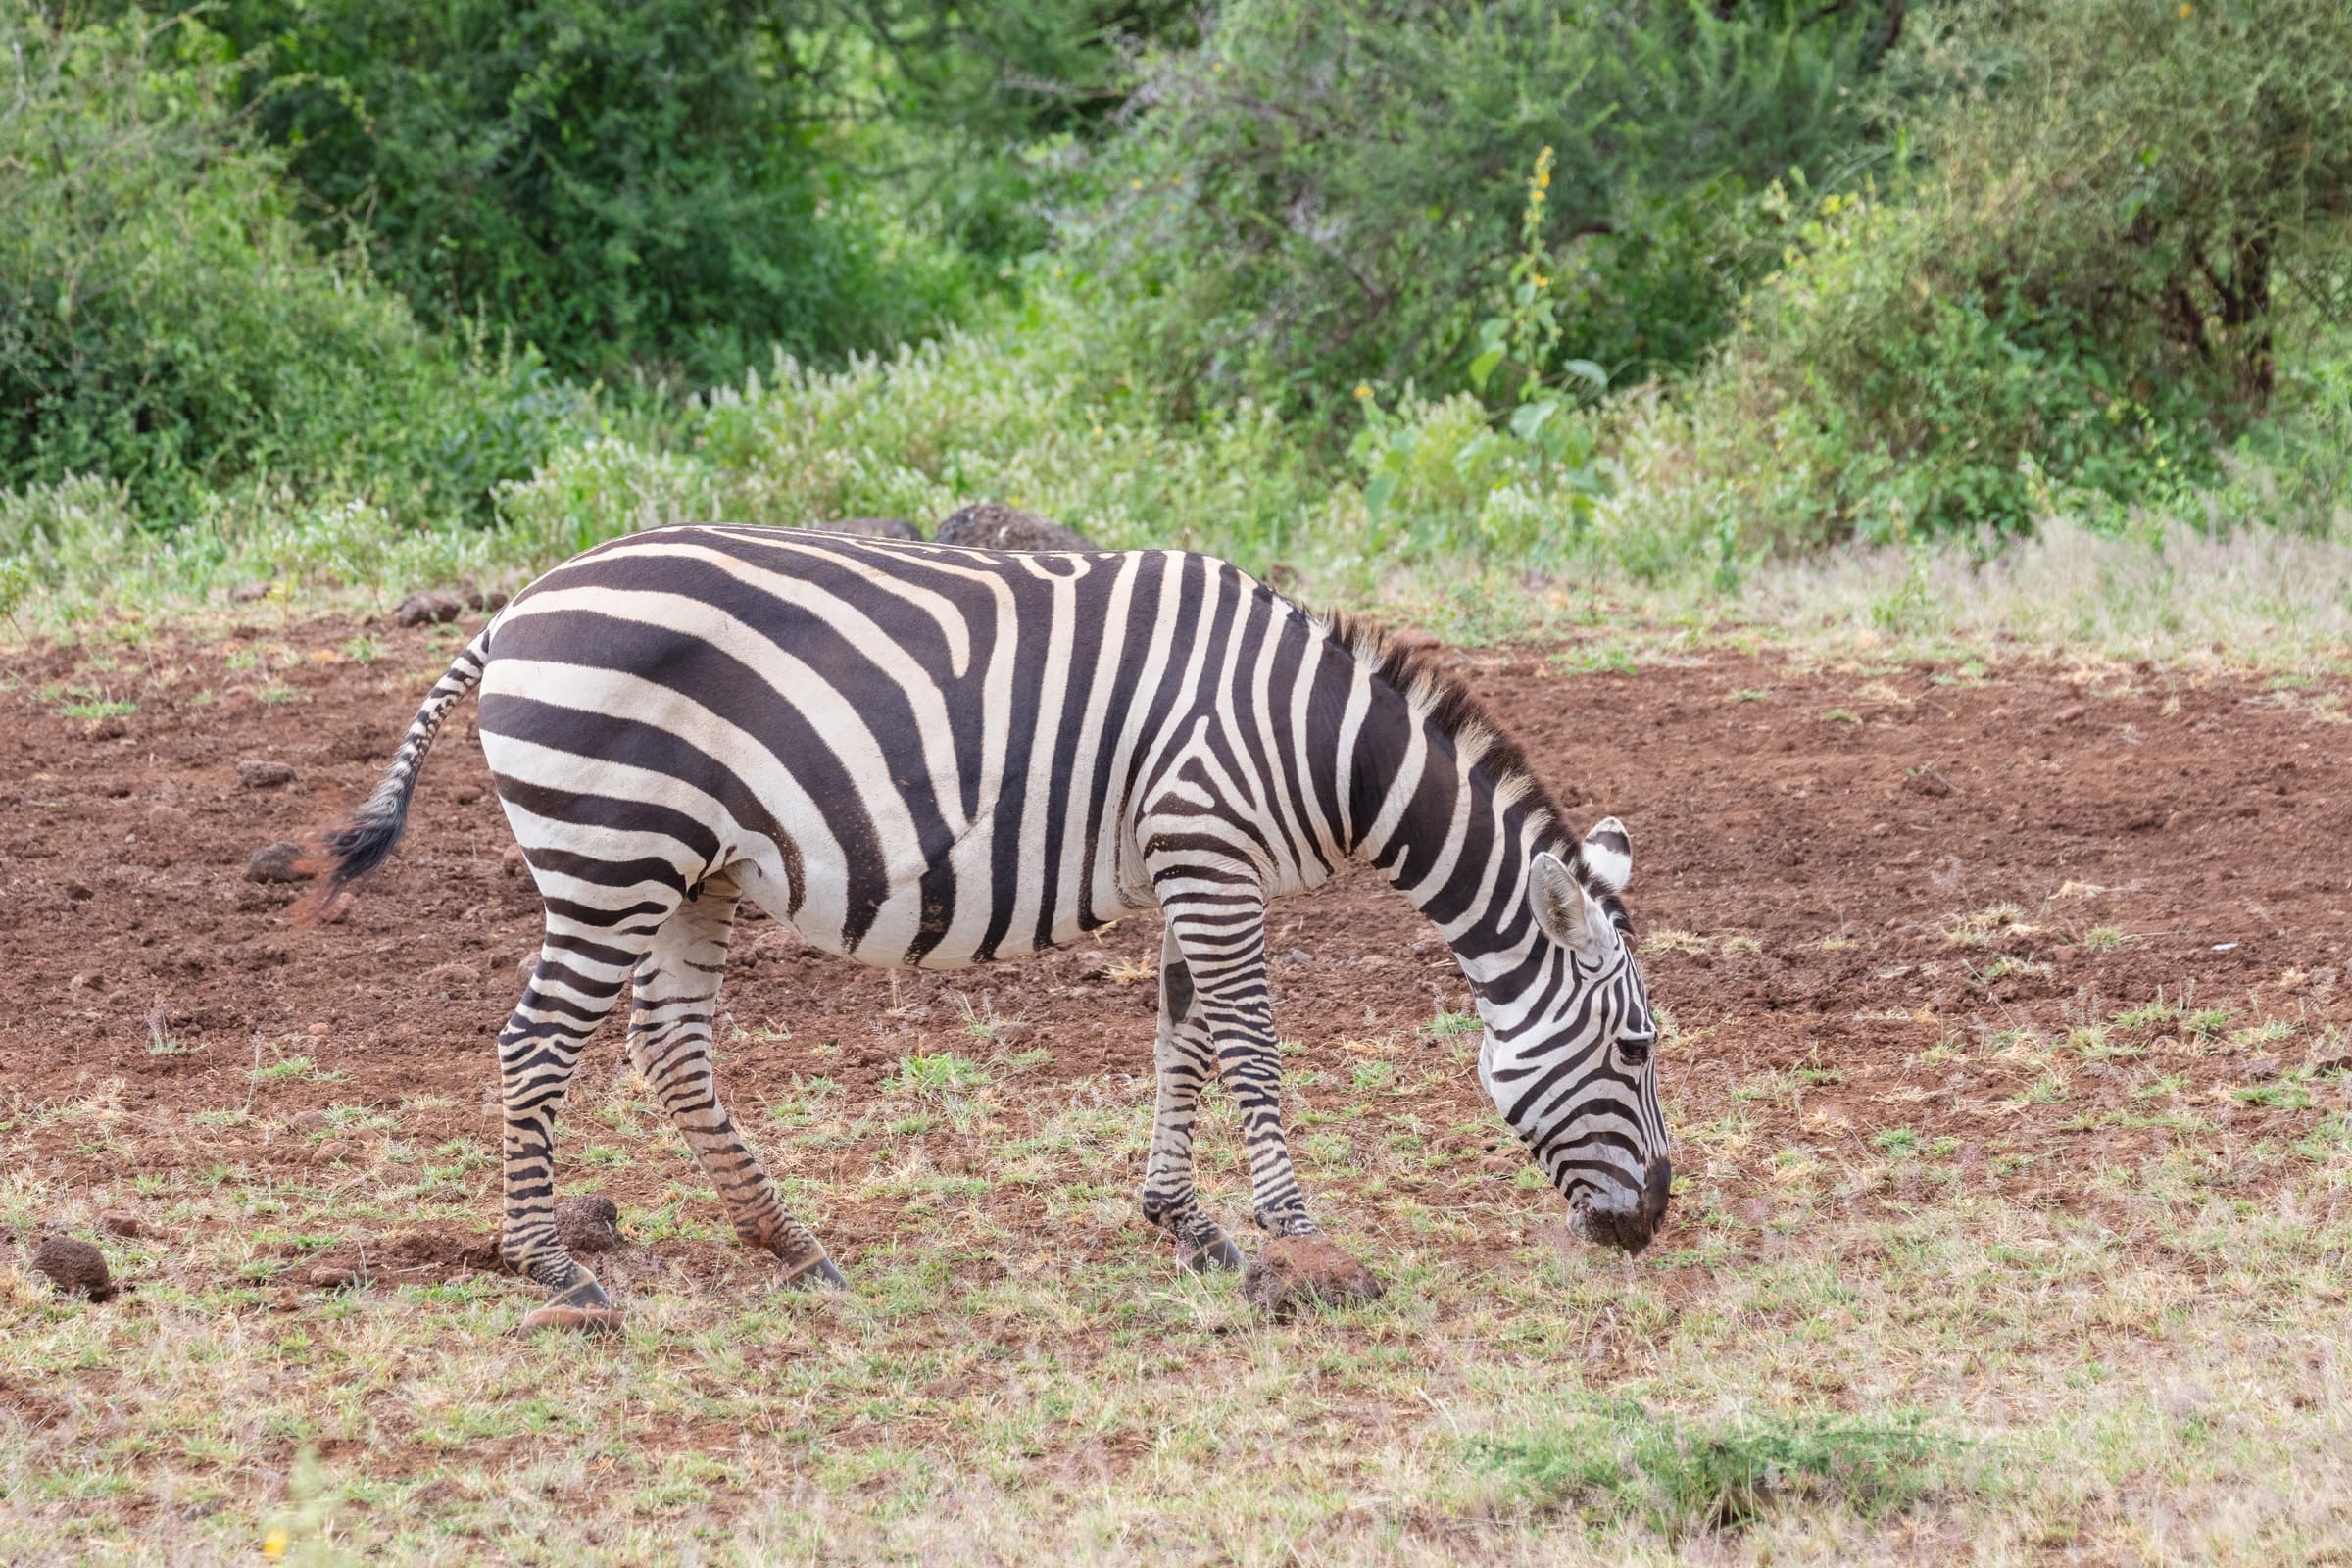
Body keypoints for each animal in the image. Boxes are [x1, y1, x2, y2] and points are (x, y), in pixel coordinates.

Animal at [306, 525, 1670, 1327]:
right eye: (1638, 1050)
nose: (1651, 1226)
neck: (1320, 745)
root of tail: (518, 605)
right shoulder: (1211, 854)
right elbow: (1250, 1045)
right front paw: (1302, 1243)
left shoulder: (1188, 868)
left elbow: (1183, 1040)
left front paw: (1190, 1228)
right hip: (611, 856)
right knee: (535, 1046)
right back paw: (557, 1268)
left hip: (694, 873)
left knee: (672, 1051)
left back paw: (793, 1247)